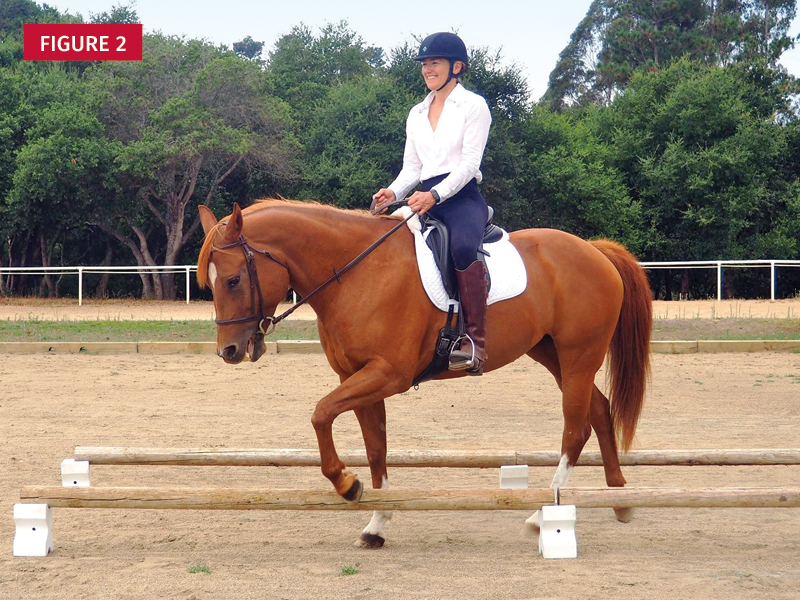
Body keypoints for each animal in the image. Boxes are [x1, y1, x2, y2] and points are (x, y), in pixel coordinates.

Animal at [197, 199, 652, 548]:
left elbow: (321, 413)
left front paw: (347, 484)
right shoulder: (357, 377)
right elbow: (375, 448)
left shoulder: (387, 374)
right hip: (551, 354)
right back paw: (621, 498)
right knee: (599, 410)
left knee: (576, 429)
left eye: (233, 279)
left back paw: (544, 518)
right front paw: (376, 525)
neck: (356, 273)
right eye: (211, 283)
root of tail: (595, 251)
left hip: (578, 355)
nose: (229, 351)